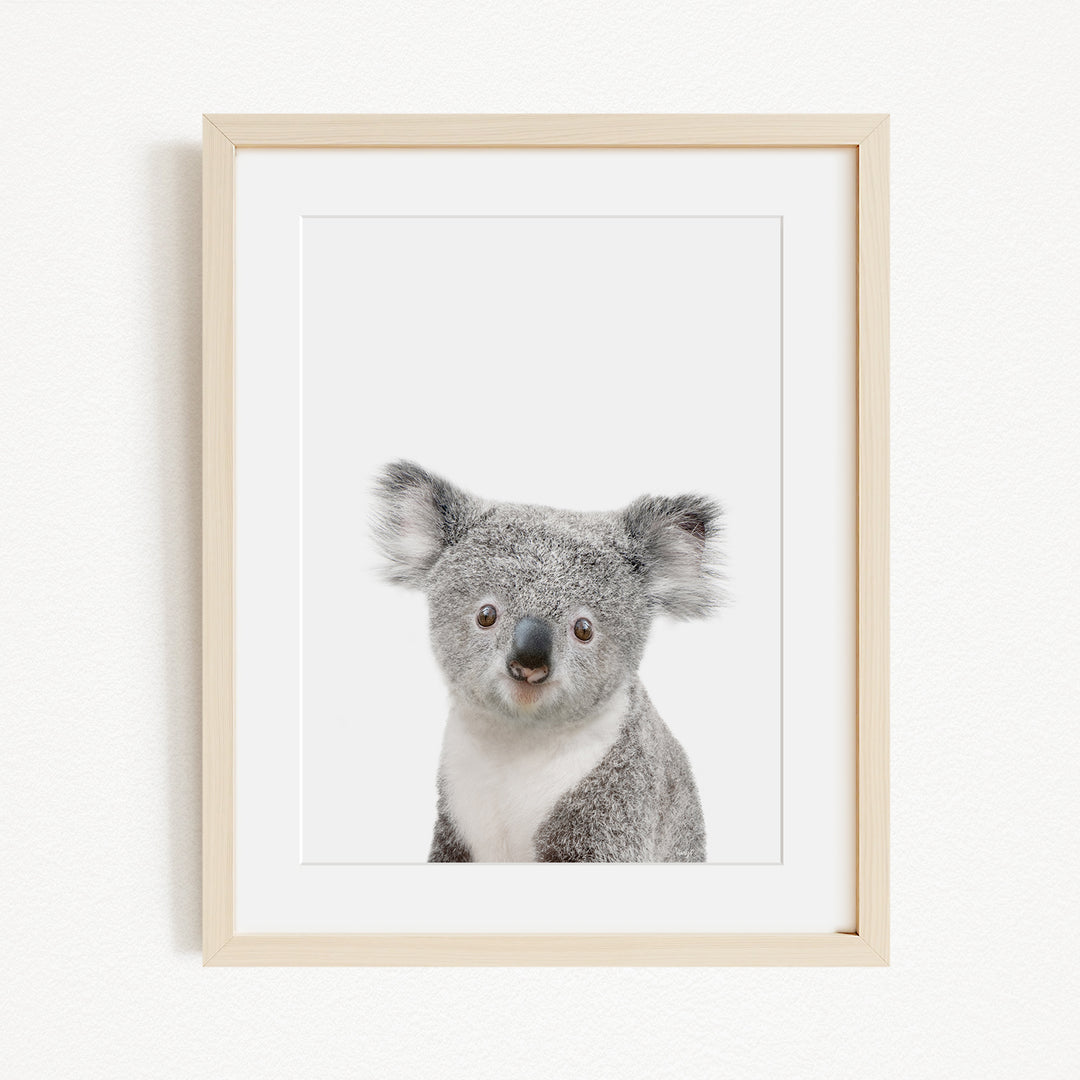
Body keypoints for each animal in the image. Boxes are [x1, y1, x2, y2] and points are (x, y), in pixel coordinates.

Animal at [372, 460, 724, 863]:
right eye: (486, 615)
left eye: (583, 629)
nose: (528, 663)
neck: (519, 738)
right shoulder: (455, 819)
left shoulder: (615, 805)